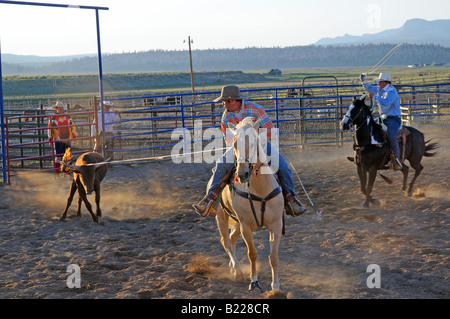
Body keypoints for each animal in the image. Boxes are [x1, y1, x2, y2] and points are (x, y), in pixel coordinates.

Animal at [215, 117, 284, 292]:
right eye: (234, 144)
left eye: (253, 143)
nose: (242, 174)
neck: (260, 189)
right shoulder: (246, 226)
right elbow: (252, 254)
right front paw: (254, 281)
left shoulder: (276, 225)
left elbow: (274, 257)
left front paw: (275, 287)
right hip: (221, 215)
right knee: (225, 241)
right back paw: (237, 269)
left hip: (237, 222)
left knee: (232, 239)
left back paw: (233, 267)